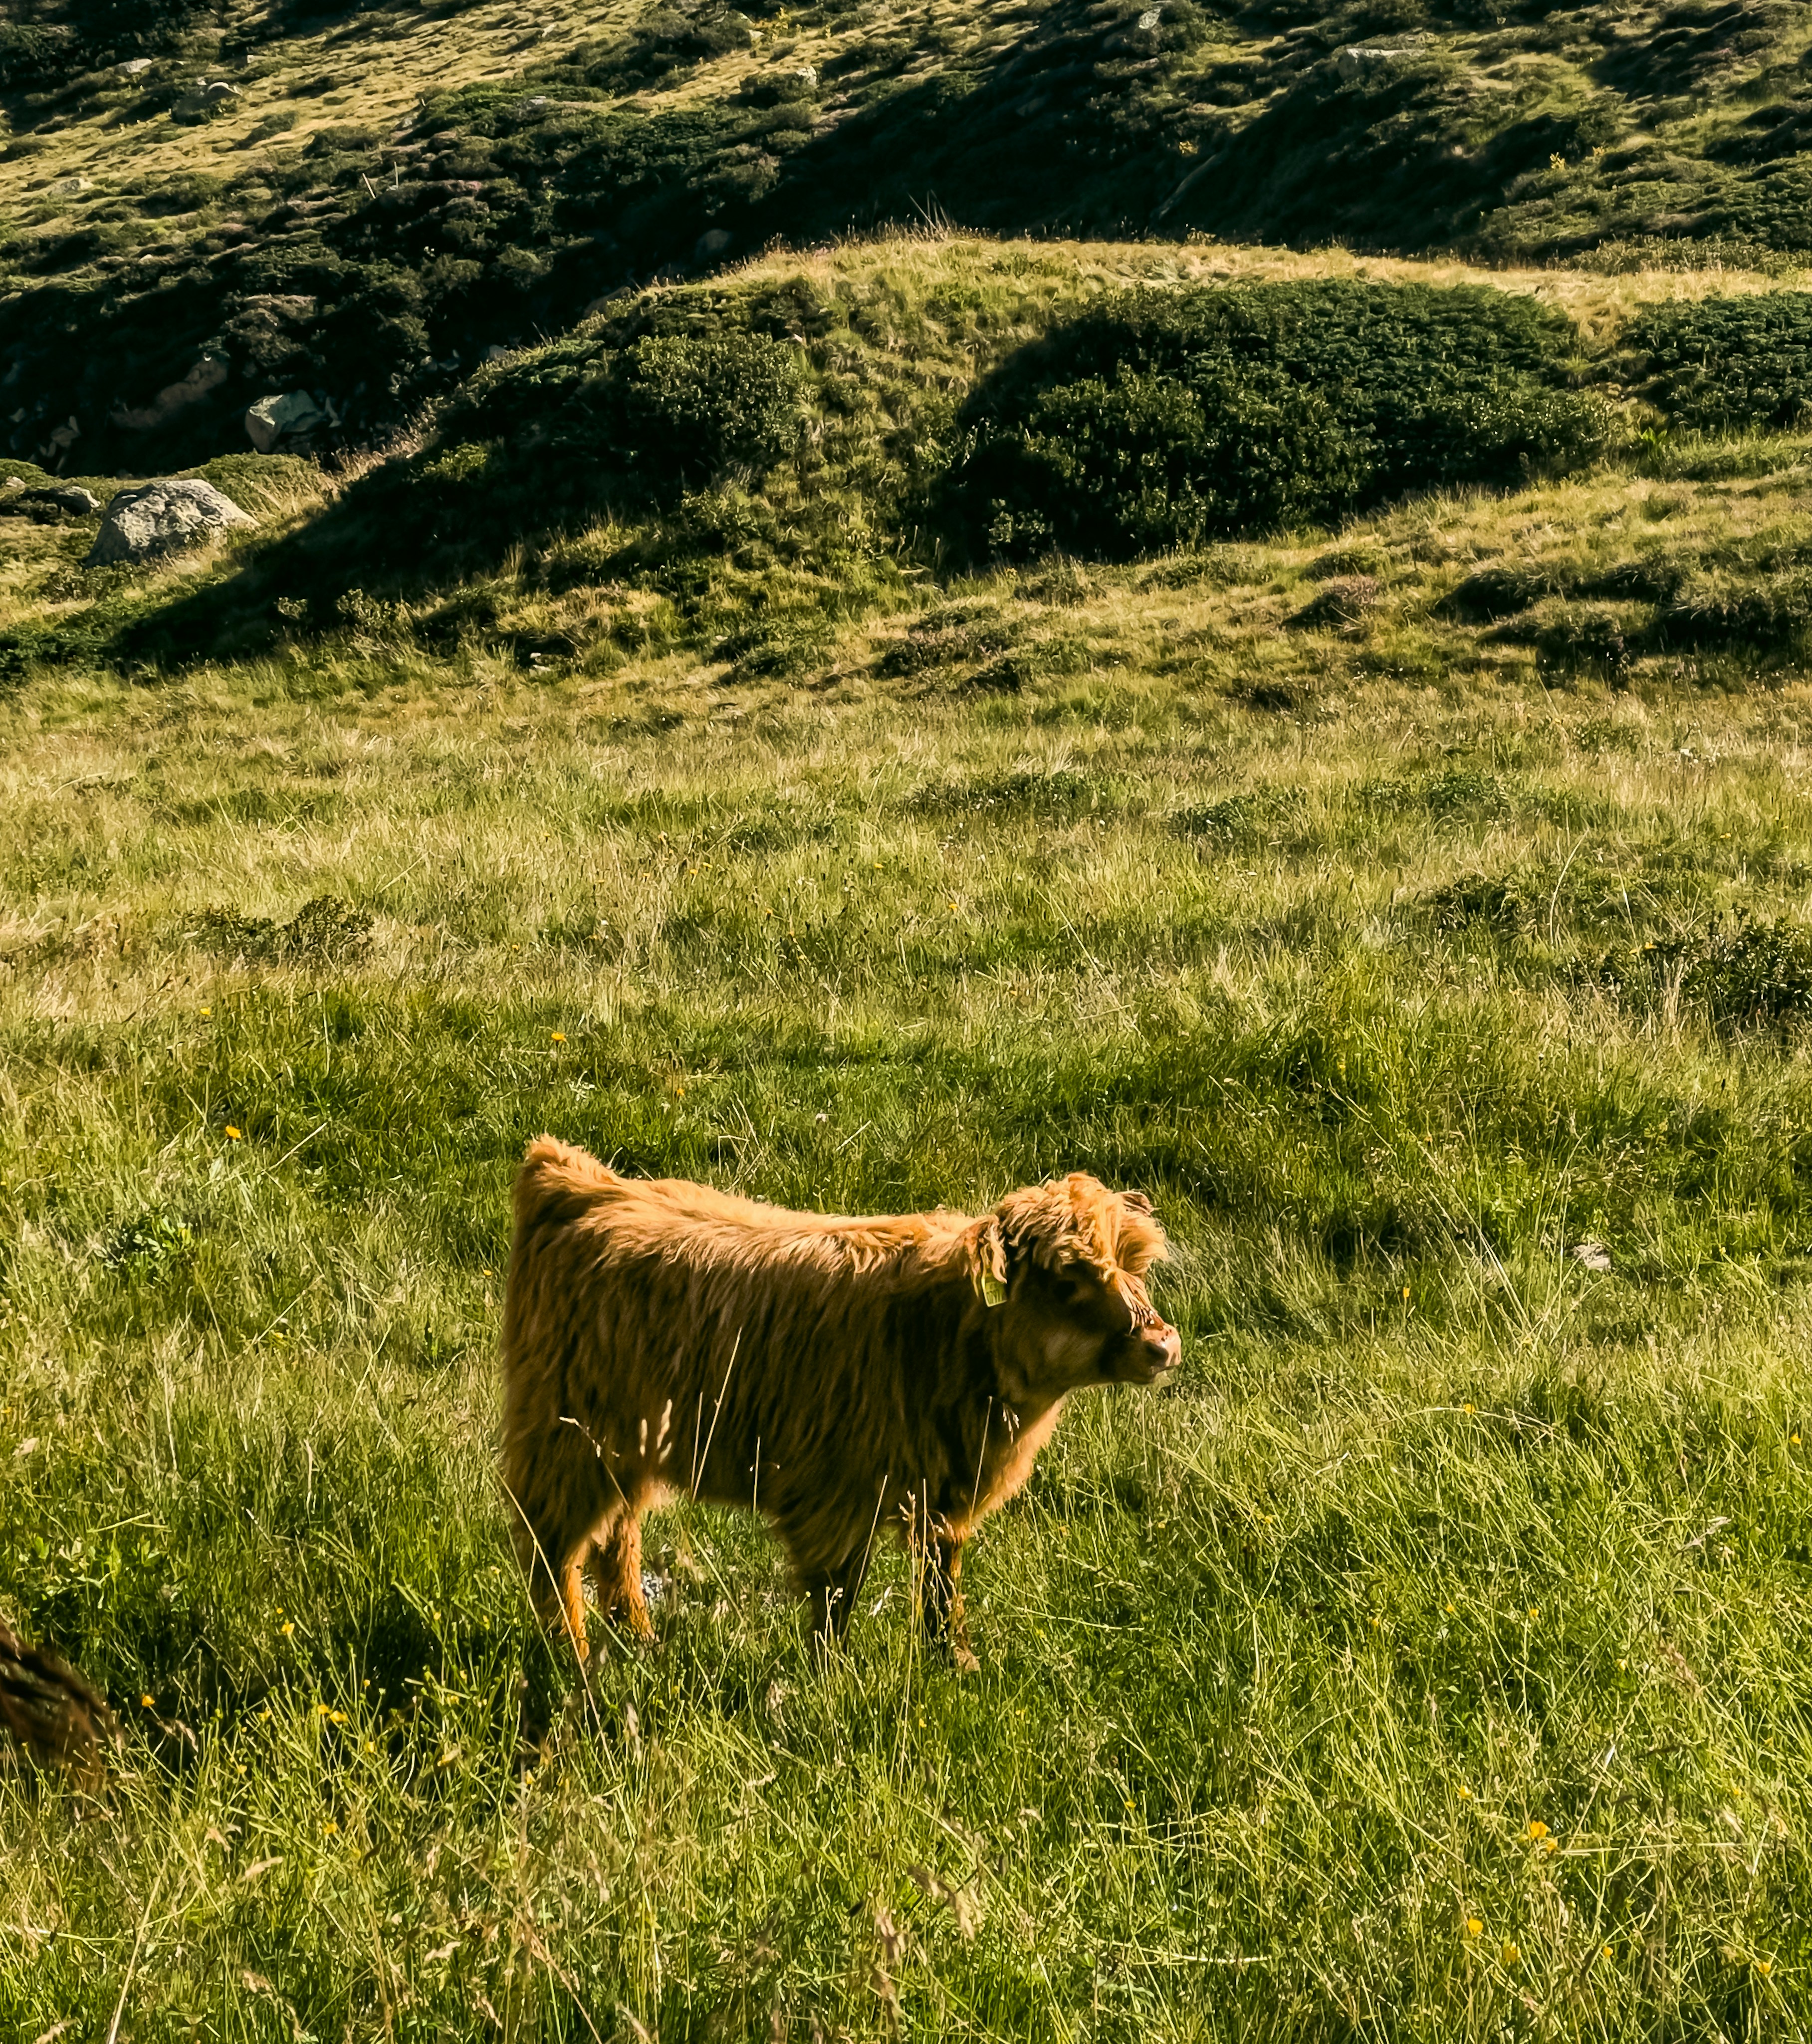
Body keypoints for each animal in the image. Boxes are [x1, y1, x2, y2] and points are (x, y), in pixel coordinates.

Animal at [500, 1137, 1180, 1666]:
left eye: (1133, 1264)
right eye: (1066, 1279)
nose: (1162, 1344)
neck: (946, 1335)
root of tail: (580, 1181)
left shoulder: (940, 1496)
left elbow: (940, 1581)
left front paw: (954, 1662)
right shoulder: (836, 1497)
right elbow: (836, 1597)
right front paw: (831, 1680)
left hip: (627, 1446)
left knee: (617, 1540)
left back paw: (638, 1641)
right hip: (566, 1440)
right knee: (552, 1550)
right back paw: (572, 1657)